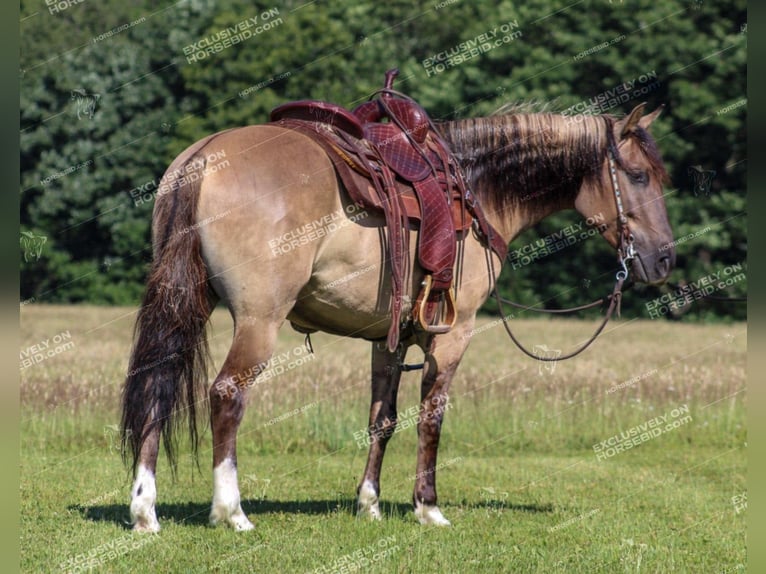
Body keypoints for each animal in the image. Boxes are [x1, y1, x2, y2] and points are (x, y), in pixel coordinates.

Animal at [121, 80, 680, 532]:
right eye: (637, 176)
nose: (664, 259)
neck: (476, 188)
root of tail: (204, 156)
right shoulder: (453, 334)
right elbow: (431, 417)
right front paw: (428, 507)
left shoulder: (388, 338)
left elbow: (382, 418)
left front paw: (369, 503)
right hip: (259, 322)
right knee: (227, 394)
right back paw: (231, 511)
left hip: (185, 303)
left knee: (157, 385)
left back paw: (145, 510)